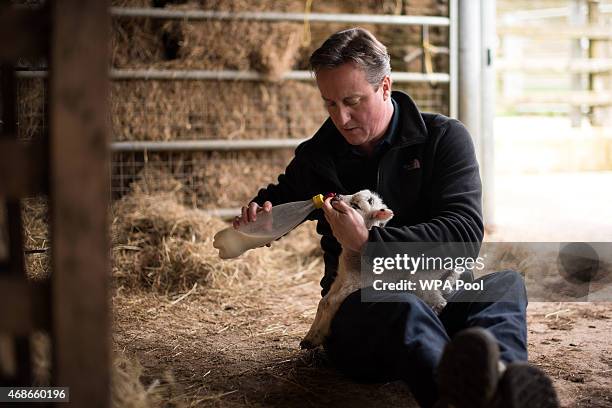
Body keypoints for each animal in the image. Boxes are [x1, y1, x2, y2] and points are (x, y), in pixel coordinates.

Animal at [302, 190, 460, 350]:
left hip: (420, 279)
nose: (336, 196)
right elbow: (323, 302)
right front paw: (308, 337)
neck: (354, 255)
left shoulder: (357, 282)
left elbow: (330, 302)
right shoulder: (341, 279)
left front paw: (318, 335)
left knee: (438, 301)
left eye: (356, 206)